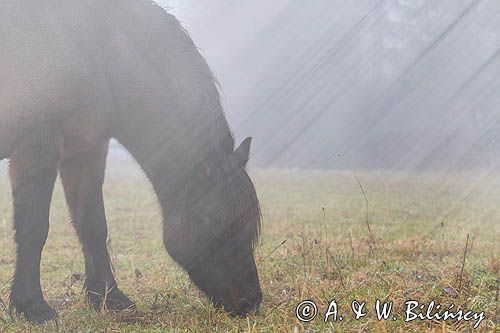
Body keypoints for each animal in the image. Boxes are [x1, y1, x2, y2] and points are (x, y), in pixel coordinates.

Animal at [0, 0, 264, 322]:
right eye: (214, 223)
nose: (250, 301)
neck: (91, 45)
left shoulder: (86, 152)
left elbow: (93, 226)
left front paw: (109, 297)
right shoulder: (36, 150)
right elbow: (33, 229)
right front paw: (32, 306)